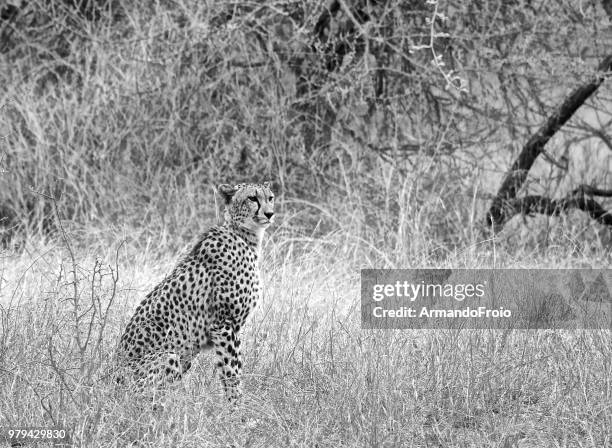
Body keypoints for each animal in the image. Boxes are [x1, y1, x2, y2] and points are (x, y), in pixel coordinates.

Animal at [116, 182, 274, 402]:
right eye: (252, 198)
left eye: (270, 197)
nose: (270, 213)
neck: (243, 235)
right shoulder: (224, 325)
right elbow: (231, 372)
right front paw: (236, 406)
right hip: (170, 356)